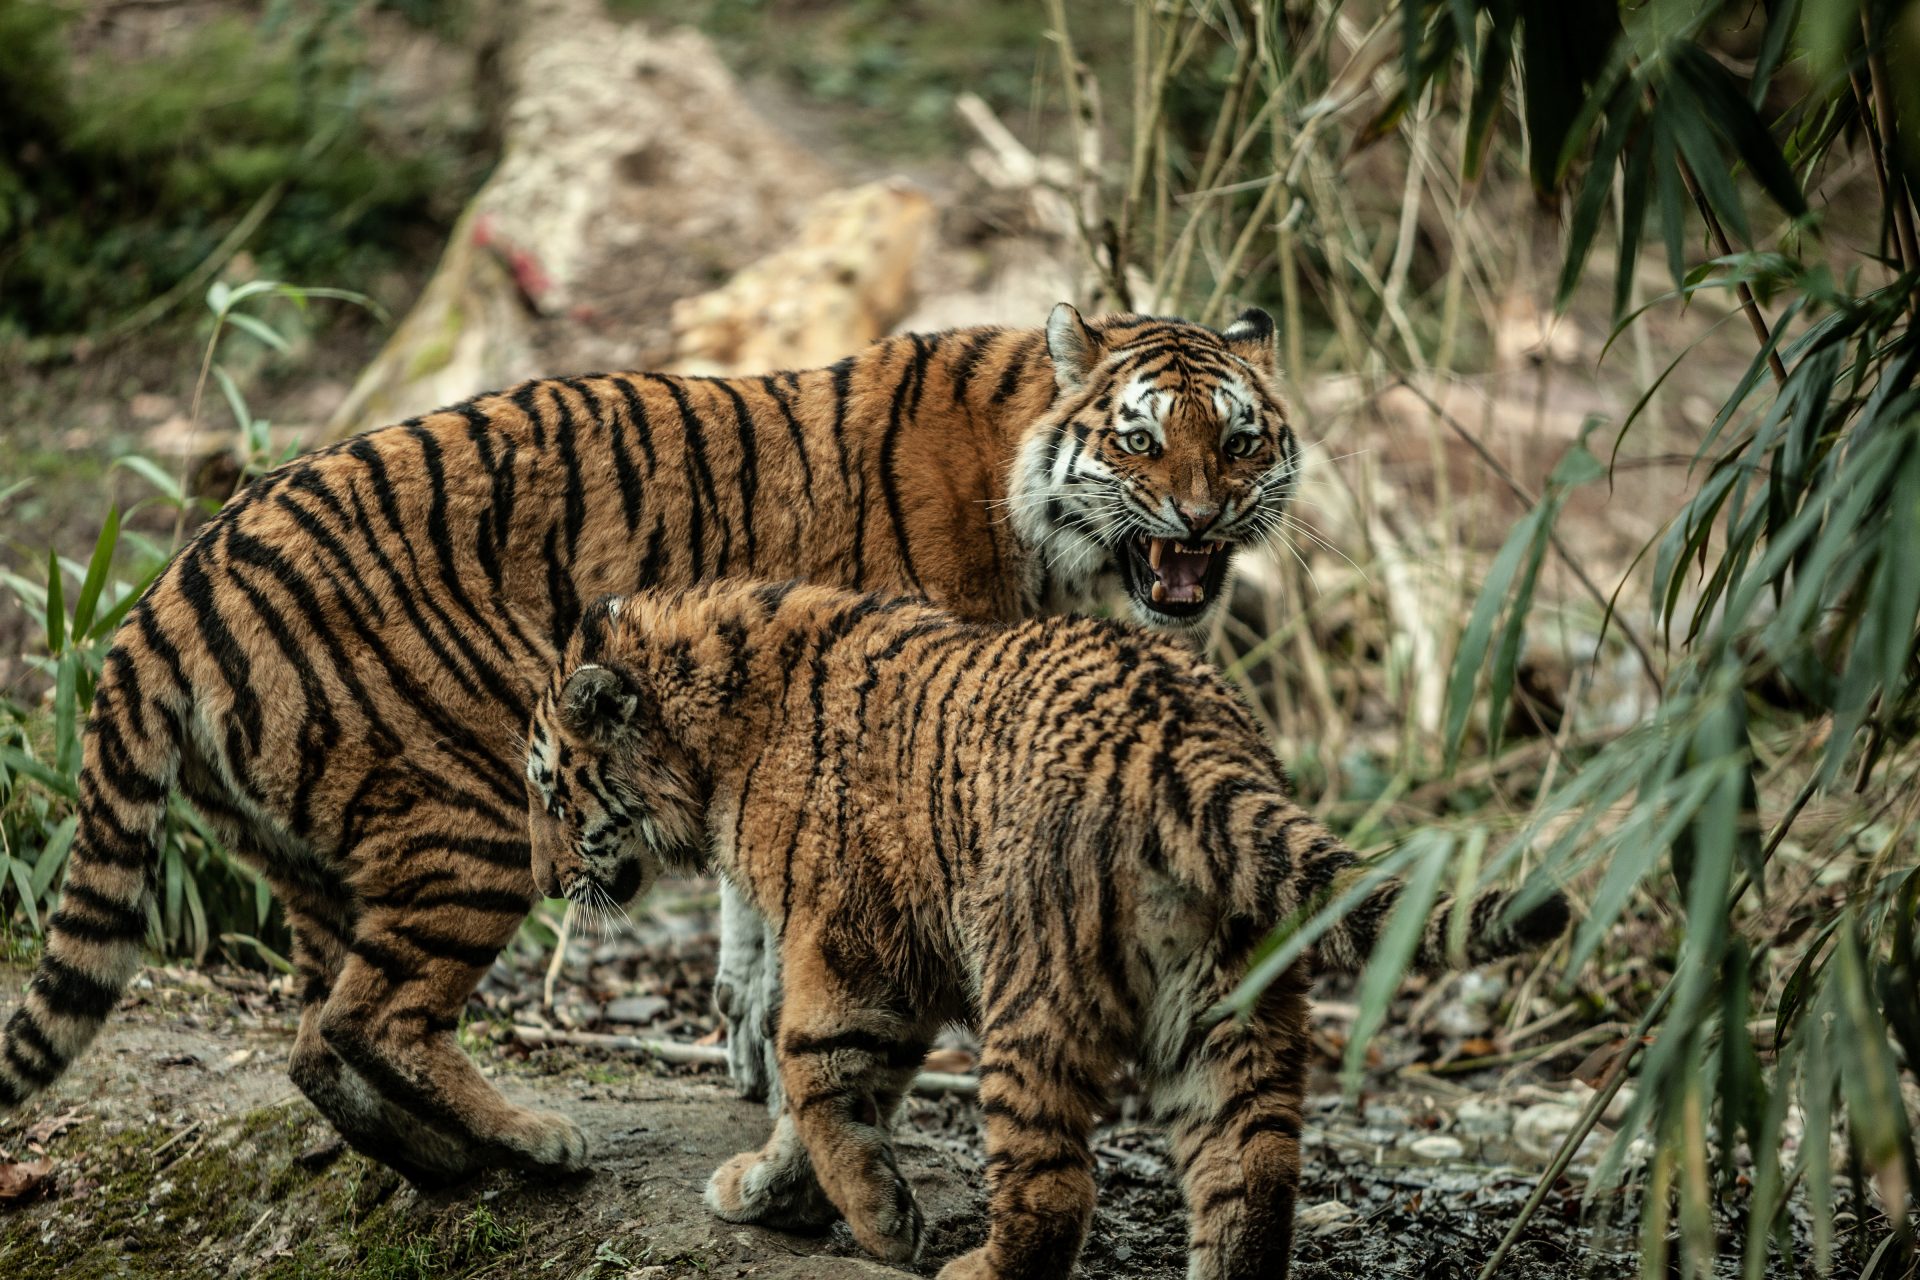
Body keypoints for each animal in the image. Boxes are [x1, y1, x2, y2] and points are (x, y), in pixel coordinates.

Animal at [0, 305, 1305, 1189]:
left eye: (1240, 442)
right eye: (1140, 442)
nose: (1201, 517)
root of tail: (166, 590)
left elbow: (752, 916)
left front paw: (750, 1047)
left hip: (305, 853)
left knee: (315, 1034)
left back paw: (450, 1161)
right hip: (482, 808)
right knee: (369, 1016)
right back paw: (533, 1137)